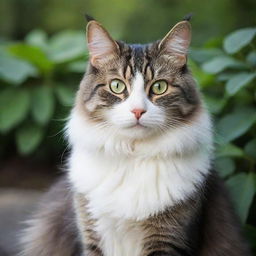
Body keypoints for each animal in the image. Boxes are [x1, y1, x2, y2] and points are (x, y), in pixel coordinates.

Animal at [19, 17, 251, 255]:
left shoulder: (169, 237)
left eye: (159, 87)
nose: (138, 111)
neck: (132, 155)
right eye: (117, 85)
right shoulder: (91, 233)